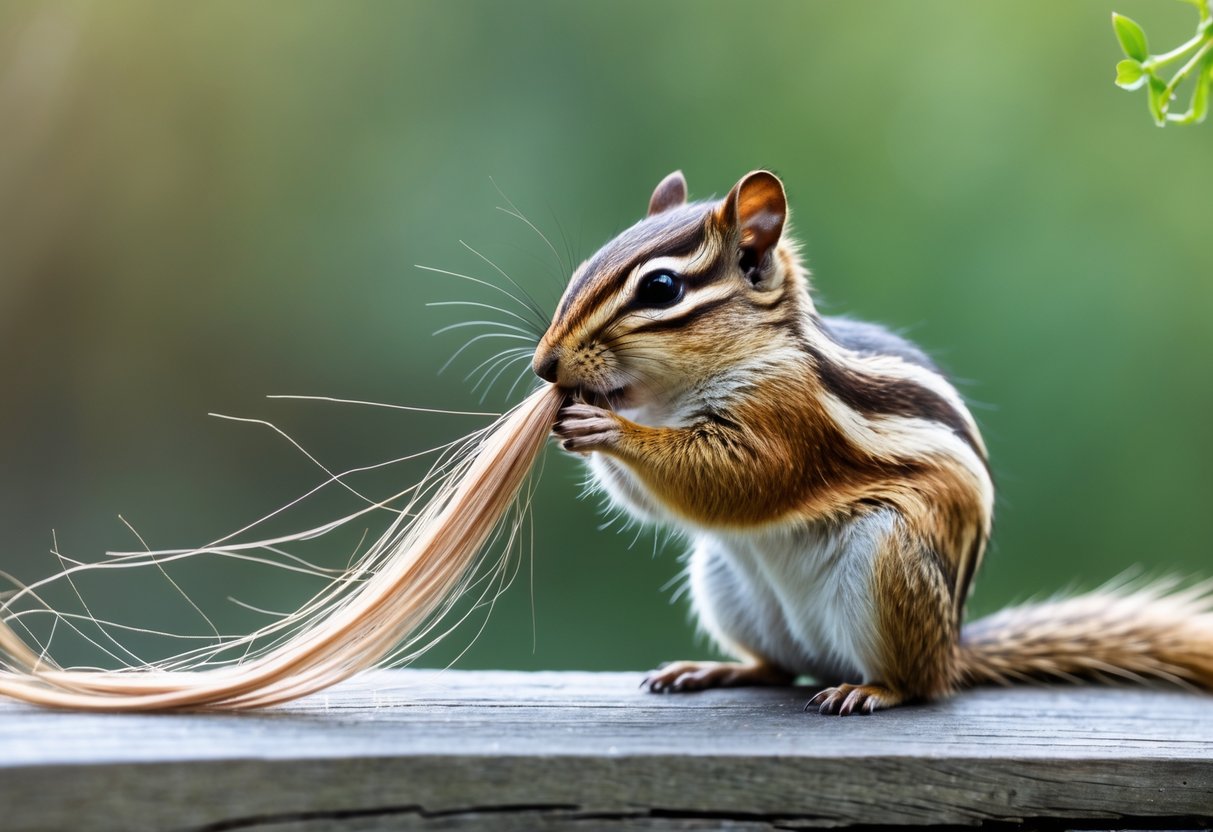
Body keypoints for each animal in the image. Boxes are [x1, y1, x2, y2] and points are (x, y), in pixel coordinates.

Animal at [531, 169, 1213, 715]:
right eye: (583, 268)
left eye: (662, 289)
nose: (545, 366)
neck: (673, 397)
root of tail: (951, 649)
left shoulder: (789, 416)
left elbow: (740, 479)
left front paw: (607, 428)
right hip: (725, 581)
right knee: (776, 668)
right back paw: (714, 669)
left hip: (888, 564)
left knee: (917, 686)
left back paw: (871, 690)